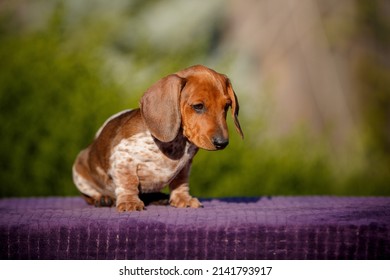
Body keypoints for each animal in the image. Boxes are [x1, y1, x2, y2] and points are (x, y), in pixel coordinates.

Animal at [72, 64, 242, 211]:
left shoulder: (185, 166)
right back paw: (102, 198)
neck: (176, 143)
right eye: (198, 106)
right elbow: (128, 182)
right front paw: (129, 202)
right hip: (79, 171)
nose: (222, 143)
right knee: (88, 194)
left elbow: (181, 183)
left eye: (226, 106)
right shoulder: (123, 157)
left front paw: (183, 199)